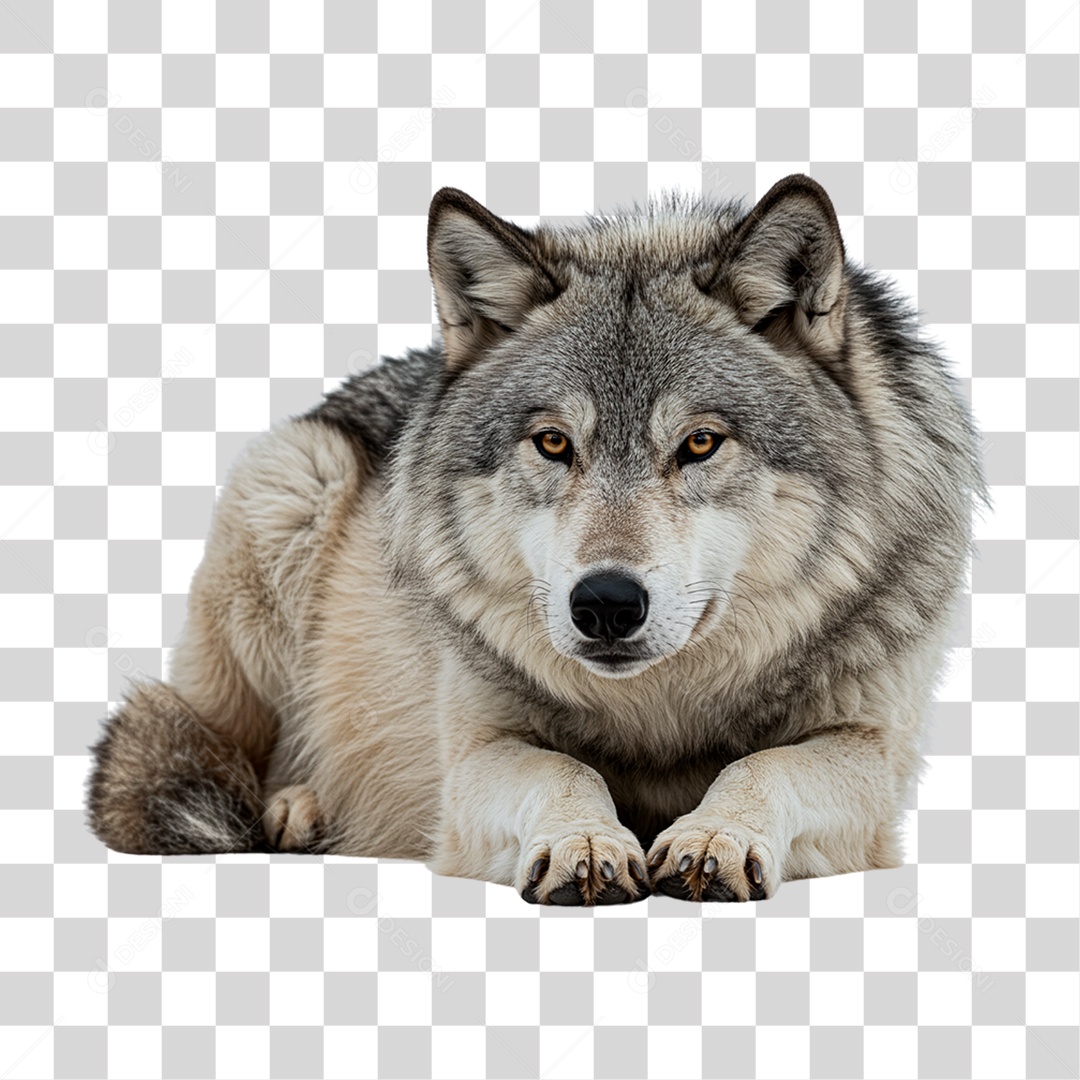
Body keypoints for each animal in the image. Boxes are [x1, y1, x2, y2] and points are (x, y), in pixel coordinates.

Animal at [88, 175, 984, 904]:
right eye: (554, 443)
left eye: (699, 443)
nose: (607, 603)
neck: (659, 712)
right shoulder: (477, 749)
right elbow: (563, 767)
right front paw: (585, 842)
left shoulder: (871, 750)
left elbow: (762, 763)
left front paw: (711, 837)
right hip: (294, 483)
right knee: (233, 751)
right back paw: (301, 807)